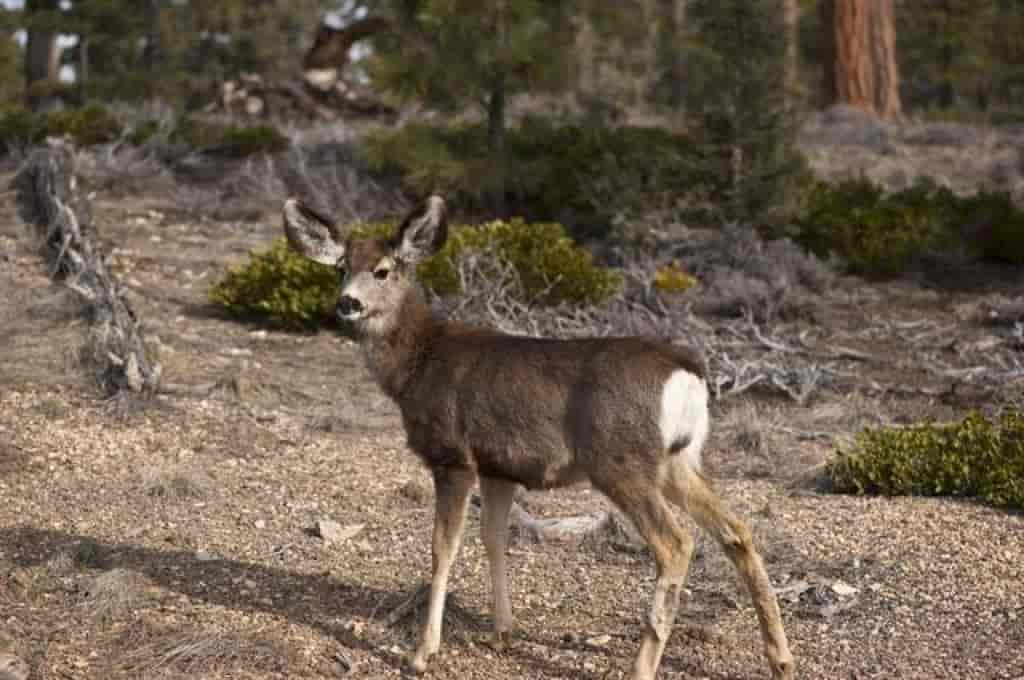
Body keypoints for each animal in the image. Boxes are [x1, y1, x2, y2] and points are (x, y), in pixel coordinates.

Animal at [284, 193, 794, 675]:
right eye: (341, 268)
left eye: (383, 270)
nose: (347, 303)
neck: (418, 363)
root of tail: (688, 375)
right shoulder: (498, 466)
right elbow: (493, 537)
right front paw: (502, 632)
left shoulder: (453, 456)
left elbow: (442, 549)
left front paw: (423, 652)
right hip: (676, 461)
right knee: (736, 530)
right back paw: (781, 658)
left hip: (621, 461)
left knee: (676, 544)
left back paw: (641, 667)